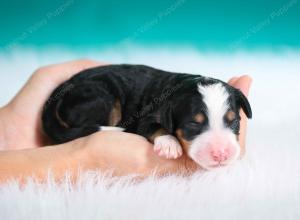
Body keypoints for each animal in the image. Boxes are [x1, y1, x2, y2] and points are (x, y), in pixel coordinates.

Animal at [41, 64, 251, 169]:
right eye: (193, 124)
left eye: (234, 121)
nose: (221, 154)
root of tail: (62, 88)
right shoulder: (145, 117)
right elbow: (155, 127)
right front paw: (169, 144)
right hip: (100, 98)